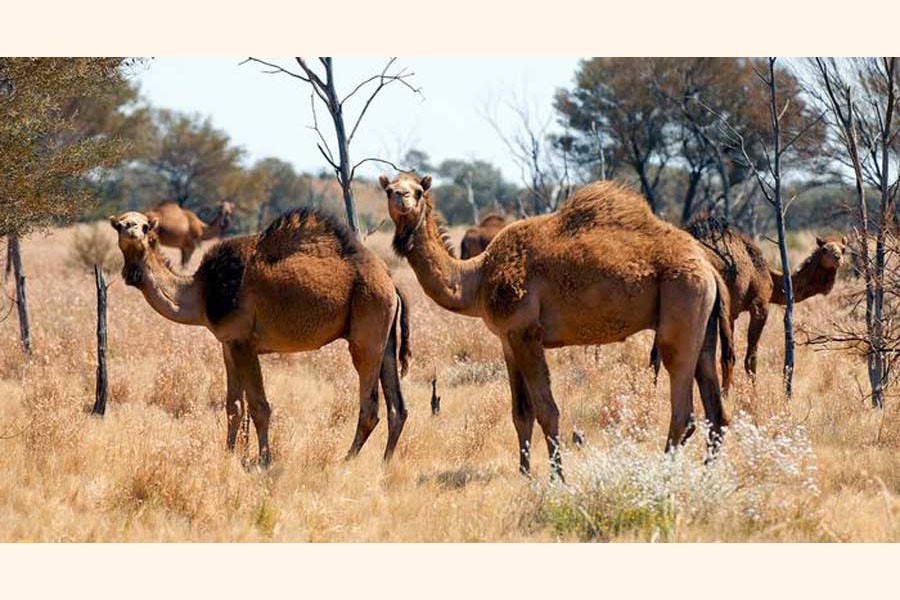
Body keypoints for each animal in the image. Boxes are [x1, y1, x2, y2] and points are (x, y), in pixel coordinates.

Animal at [110, 206, 414, 464]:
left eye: (146, 226)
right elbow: (233, 405)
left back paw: (346, 461)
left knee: (370, 407)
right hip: (385, 338)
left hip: (367, 330)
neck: (202, 292)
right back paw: (385, 463)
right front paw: (230, 454)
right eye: (121, 225)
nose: (133, 231)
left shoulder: (244, 342)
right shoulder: (228, 343)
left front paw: (264, 460)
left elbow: (259, 406)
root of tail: (391, 282)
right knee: (398, 407)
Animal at [384, 172, 736, 478]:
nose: (402, 197)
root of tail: (710, 268)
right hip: (703, 326)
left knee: (684, 408)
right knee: (717, 410)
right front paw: (524, 474)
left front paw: (557, 478)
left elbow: (546, 410)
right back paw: (708, 475)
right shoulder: (507, 339)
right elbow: (520, 413)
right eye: (389, 189)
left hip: (682, 304)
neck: (477, 278)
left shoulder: (526, 333)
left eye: (418, 190)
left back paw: (663, 474)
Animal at [652, 214, 848, 380]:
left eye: (844, 249)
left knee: (656, 355)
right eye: (824, 249)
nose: (837, 257)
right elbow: (748, 359)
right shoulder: (759, 305)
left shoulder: (731, 313)